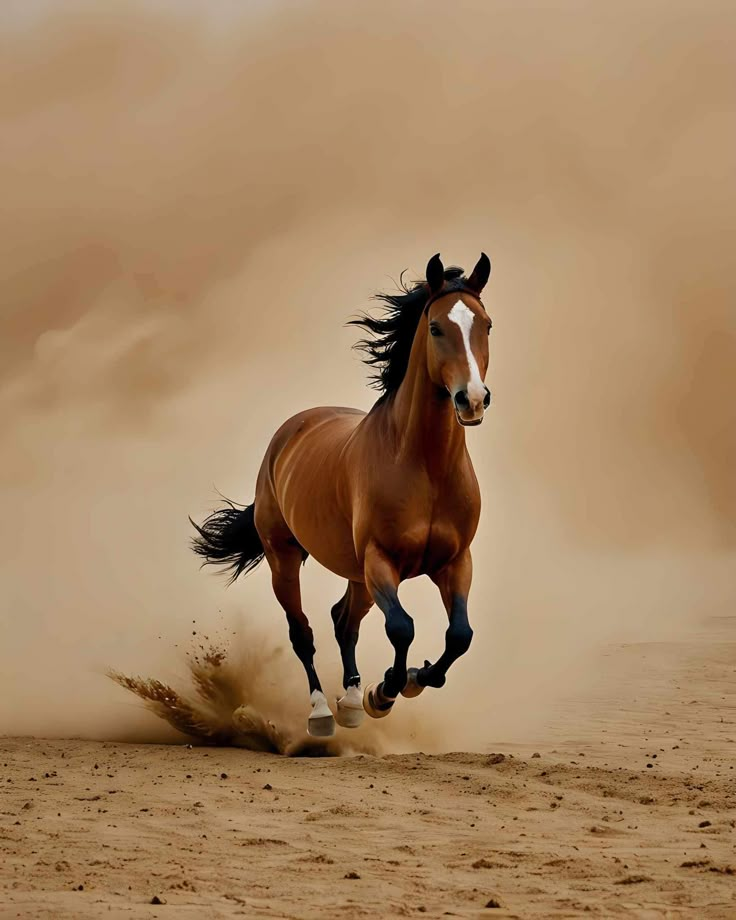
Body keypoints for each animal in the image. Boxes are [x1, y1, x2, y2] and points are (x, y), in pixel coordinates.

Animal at [191, 248, 494, 736]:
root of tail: (291, 431)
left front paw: (407, 680)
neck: (425, 467)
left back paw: (351, 700)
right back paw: (323, 712)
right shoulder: (380, 560)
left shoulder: (454, 561)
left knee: (344, 620)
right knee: (304, 632)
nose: (473, 399)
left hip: (355, 572)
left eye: (486, 325)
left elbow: (459, 636)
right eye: (435, 327)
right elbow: (402, 628)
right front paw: (385, 691)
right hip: (285, 559)